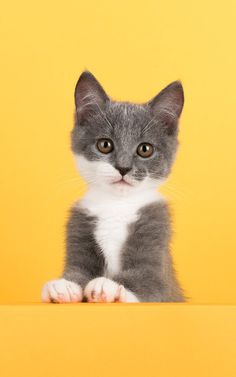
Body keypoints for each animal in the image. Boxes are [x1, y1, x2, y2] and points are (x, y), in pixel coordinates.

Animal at [41, 70, 185, 302]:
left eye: (145, 149)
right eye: (105, 145)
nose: (123, 167)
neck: (116, 204)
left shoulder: (158, 259)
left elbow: (147, 279)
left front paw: (108, 285)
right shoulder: (79, 225)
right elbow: (78, 269)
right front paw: (64, 284)